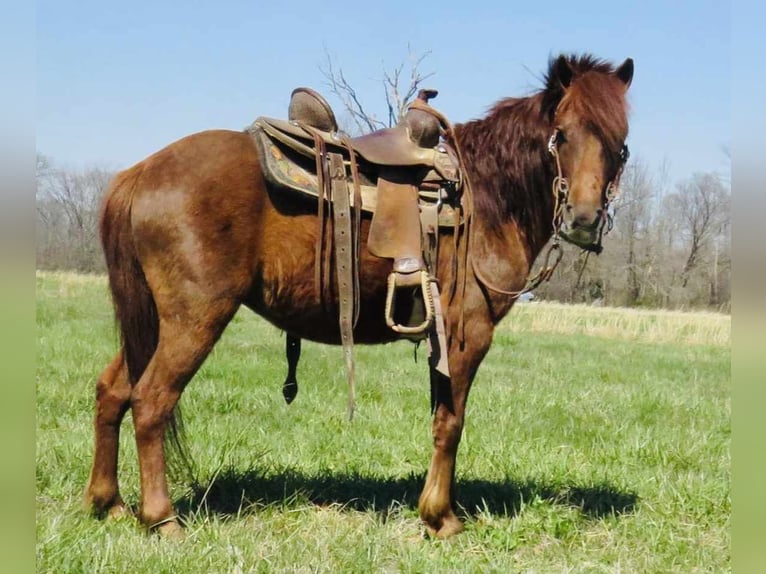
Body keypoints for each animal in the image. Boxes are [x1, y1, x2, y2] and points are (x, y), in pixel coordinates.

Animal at [84, 54, 636, 540]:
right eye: (561, 135)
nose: (584, 220)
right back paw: (161, 518)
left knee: (113, 391)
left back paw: (108, 503)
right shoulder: (467, 334)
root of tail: (140, 172)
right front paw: (441, 519)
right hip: (194, 319)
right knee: (151, 400)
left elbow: (440, 418)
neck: (486, 197)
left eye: (620, 144)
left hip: (153, 322)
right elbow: (450, 423)